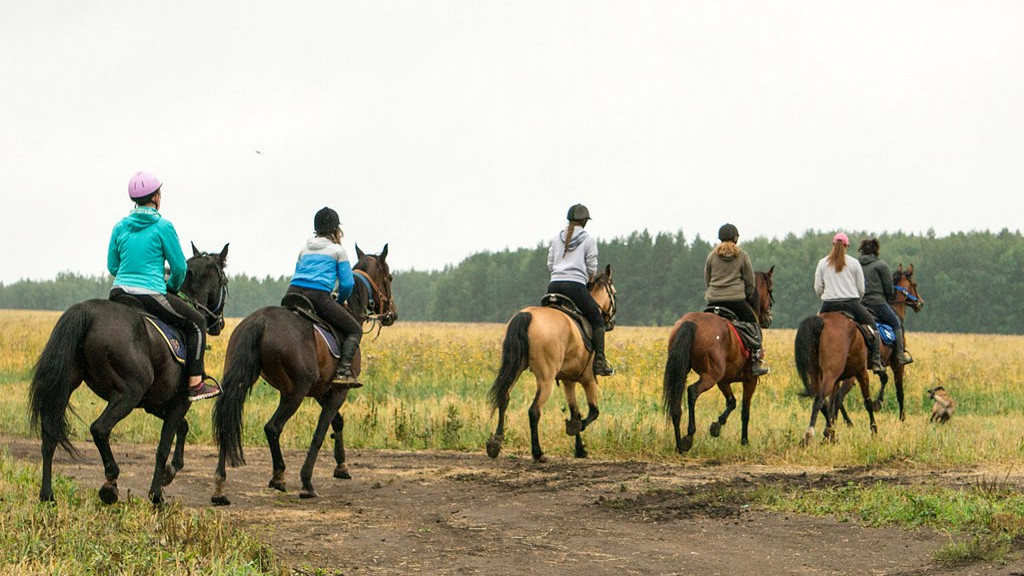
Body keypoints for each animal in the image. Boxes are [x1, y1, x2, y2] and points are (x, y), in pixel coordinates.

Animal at [29, 241, 229, 502]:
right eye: (225, 280)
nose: (219, 324)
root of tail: (87, 312)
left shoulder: (156, 404)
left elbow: (182, 428)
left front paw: (170, 472)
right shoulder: (179, 401)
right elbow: (164, 445)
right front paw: (157, 495)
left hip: (66, 387)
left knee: (49, 435)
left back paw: (48, 495)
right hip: (129, 392)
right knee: (99, 428)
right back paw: (110, 483)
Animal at [211, 241, 395, 502]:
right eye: (389, 277)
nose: (392, 314)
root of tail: (261, 321)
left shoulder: (322, 391)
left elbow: (337, 422)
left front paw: (342, 466)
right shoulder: (338, 391)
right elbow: (320, 432)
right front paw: (307, 481)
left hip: (242, 382)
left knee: (227, 423)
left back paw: (220, 487)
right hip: (295, 392)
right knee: (273, 427)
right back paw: (280, 476)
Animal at [485, 266, 618, 461]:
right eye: (614, 293)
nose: (611, 322)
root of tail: (526, 315)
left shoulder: (568, 380)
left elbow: (576, 412)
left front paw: (580, 449)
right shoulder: (588, 379)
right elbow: (593, 412)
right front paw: (575, 429)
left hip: (515, 369)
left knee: (504, 398)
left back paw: (495, 443)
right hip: (546, 378)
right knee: (534, 411)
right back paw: (538, 453)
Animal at [663, 266, 774, 450]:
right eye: (771, 289)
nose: (768, 319)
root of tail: (691, 322)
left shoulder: (724, 380)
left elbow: (732, 402)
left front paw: (716, 426)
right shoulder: (750, 380)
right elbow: (745, 410)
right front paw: (744, 440)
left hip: (683, 371)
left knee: (676, 401)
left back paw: (679, 443)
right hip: (711, 375)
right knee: (692, 392)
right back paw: (689, 436)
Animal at [790, 311, 880, 440]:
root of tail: (822, 322)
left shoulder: (837, 380)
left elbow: (834, 403)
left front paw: (830, 431)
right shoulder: (860, 372)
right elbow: (867, 401)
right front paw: (874, 430)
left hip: (816, 374)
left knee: (822, 401)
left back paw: (829, 433)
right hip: (831, 375)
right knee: (820, 398)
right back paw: (810, 434)